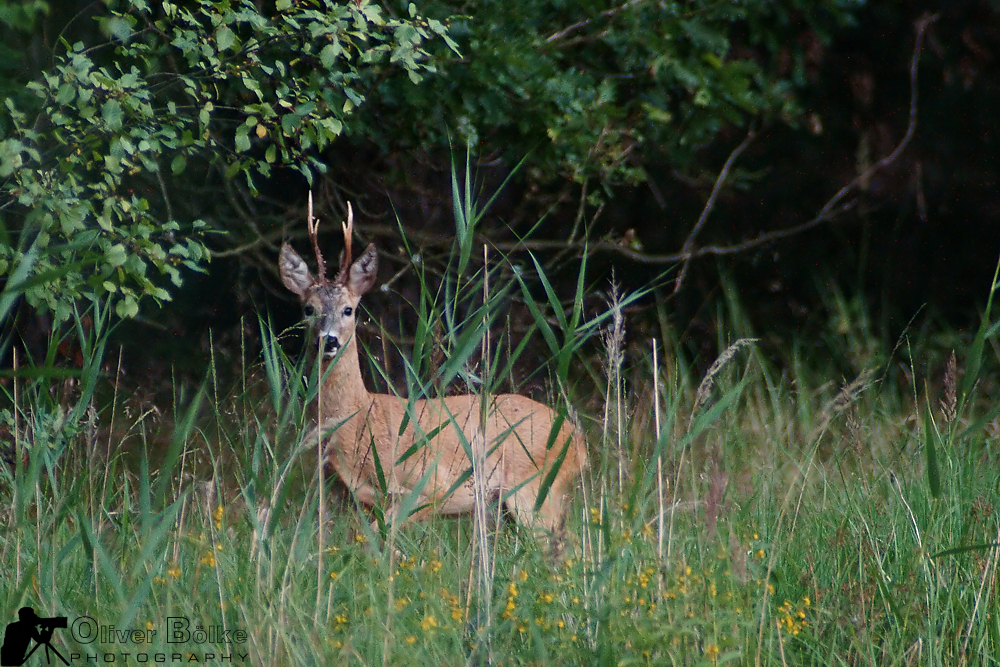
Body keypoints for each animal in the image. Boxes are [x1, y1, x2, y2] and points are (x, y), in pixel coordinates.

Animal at [278, 204, 588, 544]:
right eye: (308, 309)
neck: (360, 419)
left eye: (349, 309)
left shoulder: (431, 484)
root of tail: (578, 440)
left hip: (536, 488)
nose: (329, 340)